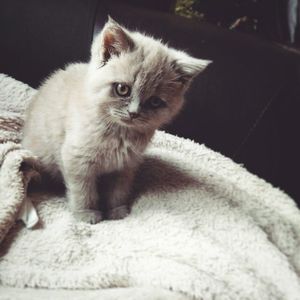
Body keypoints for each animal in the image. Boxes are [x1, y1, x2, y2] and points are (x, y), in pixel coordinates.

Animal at [21, 17, 211, 223]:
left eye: (155, 102)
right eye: (122, 89)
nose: (134, 113)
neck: (120, 133)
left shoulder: (126, 165)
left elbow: (118, 190)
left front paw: (116, 211)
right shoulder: (76, 158)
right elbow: (83, 190)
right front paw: (87, 214)